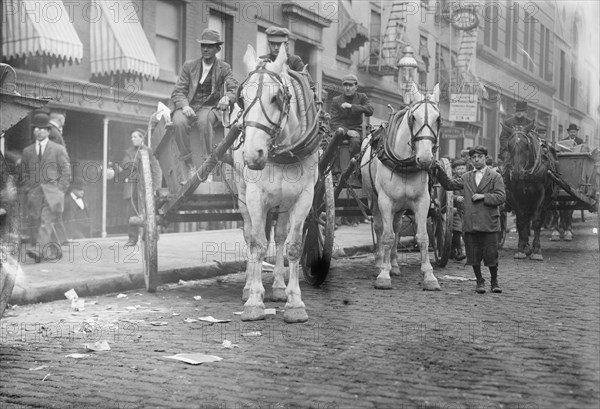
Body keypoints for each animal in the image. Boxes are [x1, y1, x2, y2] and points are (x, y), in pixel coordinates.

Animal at [233, 44, 322, 322]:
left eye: (276, 98)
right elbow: (258, 245)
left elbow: (292, 245)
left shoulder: (304, 197)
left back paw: (279, 287)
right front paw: (254, 300)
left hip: (283, 202)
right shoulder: (255, 196)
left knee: (281, 235)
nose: (253, 154)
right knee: (250, 234)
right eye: (242, 99)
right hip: (242, 193)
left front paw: (294, 302)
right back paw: (249, 286)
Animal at [360, 84, 440, 290]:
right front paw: (383, 275)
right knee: (380, 228)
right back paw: (380, 262)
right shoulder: (385, 201)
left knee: (396, 228)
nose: (425, 159)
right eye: (413, 118)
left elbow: (423, 237)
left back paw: (394, 264)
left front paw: (429, 275)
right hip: (374, 200)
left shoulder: (422, 201)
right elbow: (387, 236)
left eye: (438, 118)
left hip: (401, 207)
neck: (404, 164)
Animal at [502, 122, 552, 260]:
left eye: (526, 145)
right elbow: (520, 222)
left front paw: (537, 250)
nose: (517, 173)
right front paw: (521, 248)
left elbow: (536, 222)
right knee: (526, 219)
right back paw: (526, 245)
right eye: (509, 145)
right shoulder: (515, 194)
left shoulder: (540, 195)